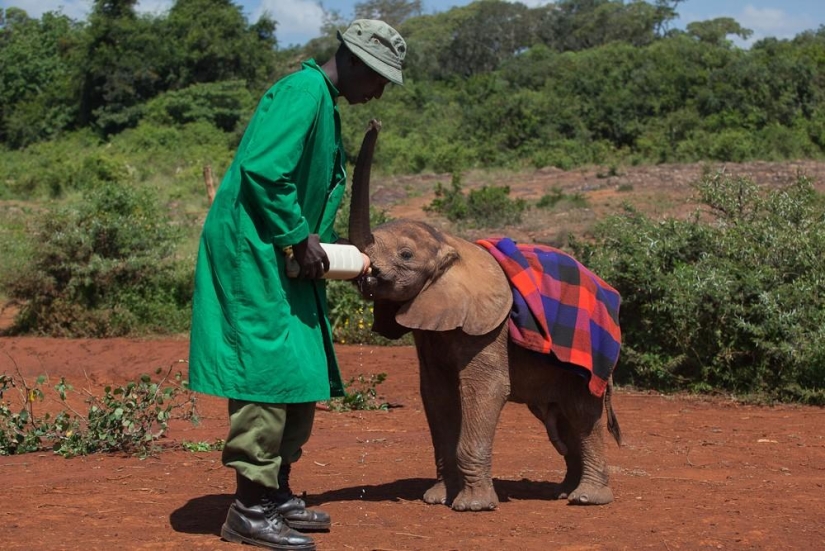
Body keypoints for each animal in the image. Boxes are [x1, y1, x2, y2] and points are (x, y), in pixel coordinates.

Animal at [345, 120, 622, 512]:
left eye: (406, 255)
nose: (374, 122)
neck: (450, 242)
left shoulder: (489, 324)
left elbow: (485, 388)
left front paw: (472, 506)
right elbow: (437, 394)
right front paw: (436, 499)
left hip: (590, 360)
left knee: (583, 414)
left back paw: (586, 499)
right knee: (561, 420)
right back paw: (563, 493)